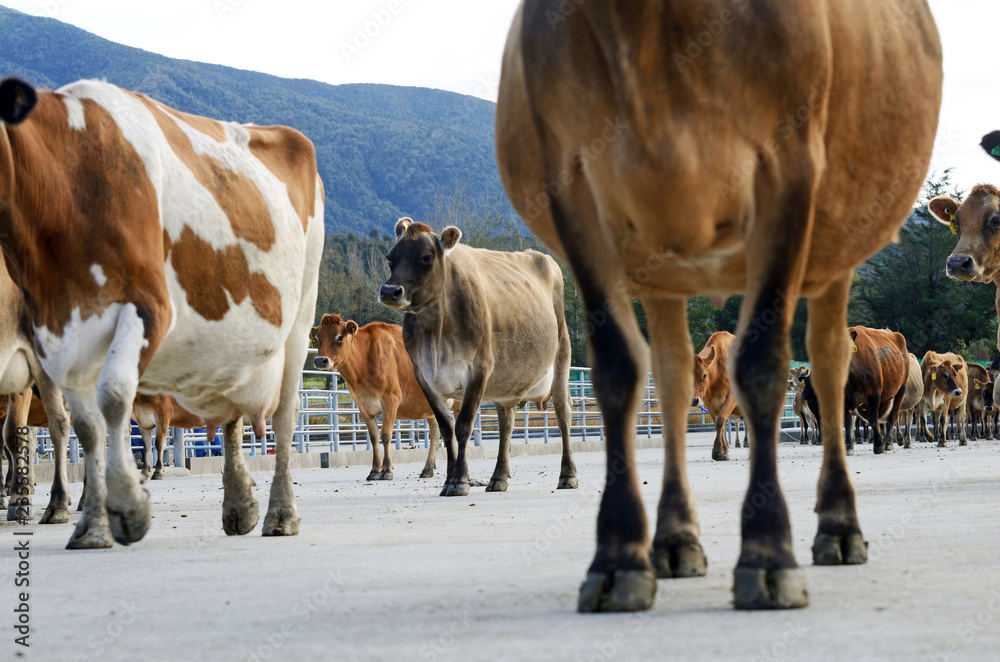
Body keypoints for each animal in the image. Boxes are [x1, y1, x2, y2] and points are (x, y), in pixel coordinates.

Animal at [0, 76, 322, 548]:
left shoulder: (146, 307)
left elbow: (114, 398)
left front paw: (129, 505)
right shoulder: (56, 333)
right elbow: (87, 426)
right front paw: (93, 523)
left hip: (301, 314)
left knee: (284, 414)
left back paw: (281, 514)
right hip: (231, 344)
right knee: (231, 416)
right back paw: (239, 504)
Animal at [312, 316, 450, 482]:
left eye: (339, 337)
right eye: (317, 338)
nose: (320, 361)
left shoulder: (391, 400)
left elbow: (385, 435)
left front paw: (387, 470)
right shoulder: (363, 406)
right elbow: (373, 437)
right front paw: (374, 470)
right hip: (430, 407)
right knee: (436, 431)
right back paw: (428, 469)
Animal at [376, 219, 580, 498]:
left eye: (427, 257)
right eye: (390, 258)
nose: (389, 291)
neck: (436, 331)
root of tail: (541, 256)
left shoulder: (478, 369)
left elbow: (463, 427)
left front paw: (460, 481)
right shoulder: (425, 377)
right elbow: (446, 429)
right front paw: (448, 479)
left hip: (561, 354)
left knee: (563, 412)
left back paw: (567, 475)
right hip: (506, 381)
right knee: (506, 423)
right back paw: (499, 478)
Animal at [692, 332, 748, 462]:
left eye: (704, 375)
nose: (695, 400)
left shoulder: (731, 399)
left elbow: (720, 420)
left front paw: (718, 450)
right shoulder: (710, 405)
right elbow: (719, 425)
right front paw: (723, 451)